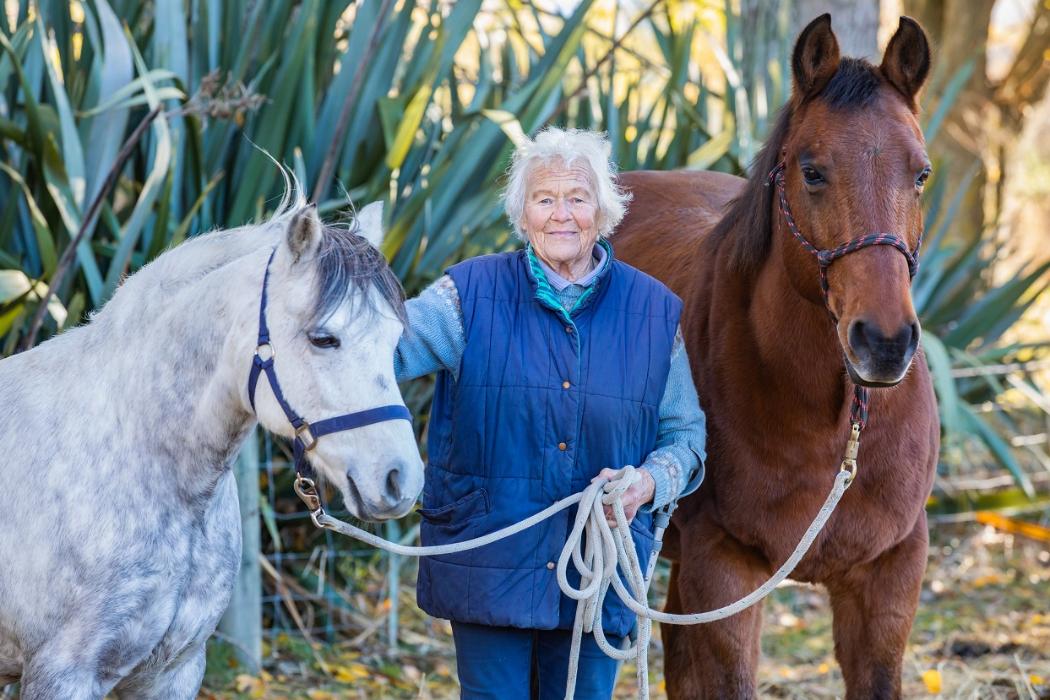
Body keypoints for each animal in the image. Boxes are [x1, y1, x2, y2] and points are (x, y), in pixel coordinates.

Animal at [613, 13, 940, 696]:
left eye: (920, 174)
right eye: (812, 171)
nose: (885, 343)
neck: (830, 425)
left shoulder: (891, 573)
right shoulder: (726, 570)